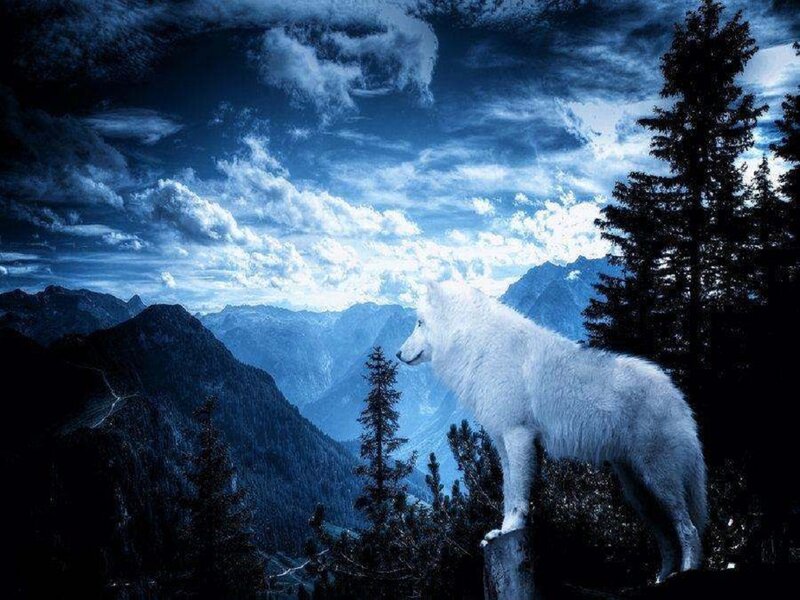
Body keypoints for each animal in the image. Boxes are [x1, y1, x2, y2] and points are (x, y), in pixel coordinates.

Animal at [397, 281, 707, 582]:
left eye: (419, 323)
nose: (398, 354)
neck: (477, 345)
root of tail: (678, 396)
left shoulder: (518, 435)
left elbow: (518, 496)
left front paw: (511, 528)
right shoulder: (503, 443)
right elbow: (507, 492)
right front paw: (499, 531)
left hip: (659, 480)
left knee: (688, 528)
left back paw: (687, 570)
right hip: (638, 494)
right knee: (666, 538)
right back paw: (662, 578)